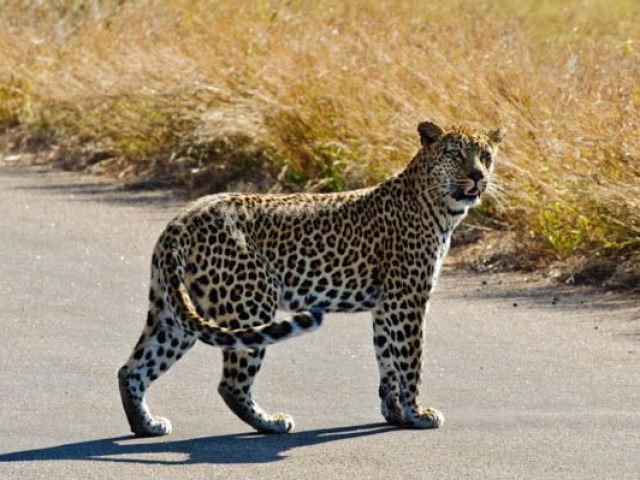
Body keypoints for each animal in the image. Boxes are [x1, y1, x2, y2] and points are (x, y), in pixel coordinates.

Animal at [116, 118, 504, 436]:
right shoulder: (406, 299)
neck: (441, 207)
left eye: (485, 156)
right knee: (231, 382)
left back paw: (146, 425)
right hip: (250, 303)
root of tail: (184, 218)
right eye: (455, 154)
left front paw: (394, 412)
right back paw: (271, 423)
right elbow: (410, 359)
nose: (478, 176)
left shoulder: (385, 306)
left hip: (173, 312)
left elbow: (387, 361)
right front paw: (418, 413)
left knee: (132, 368)